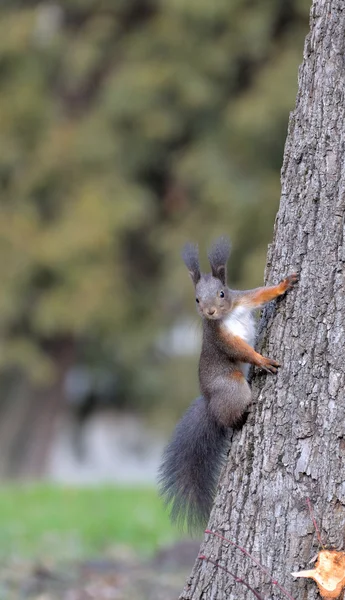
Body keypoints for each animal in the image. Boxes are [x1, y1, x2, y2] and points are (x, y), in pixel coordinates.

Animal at [157, 237, 296, 532]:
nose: (209, 311)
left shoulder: (243, 299)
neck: (228, 314)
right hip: (233, 387)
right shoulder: (220, 338)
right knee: (230, 416)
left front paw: (283, 285)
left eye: (222, 294)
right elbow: (240, 351)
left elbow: (261, 294)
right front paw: (261, 359)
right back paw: (243, 414)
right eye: (197, 299)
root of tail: (211, 404)